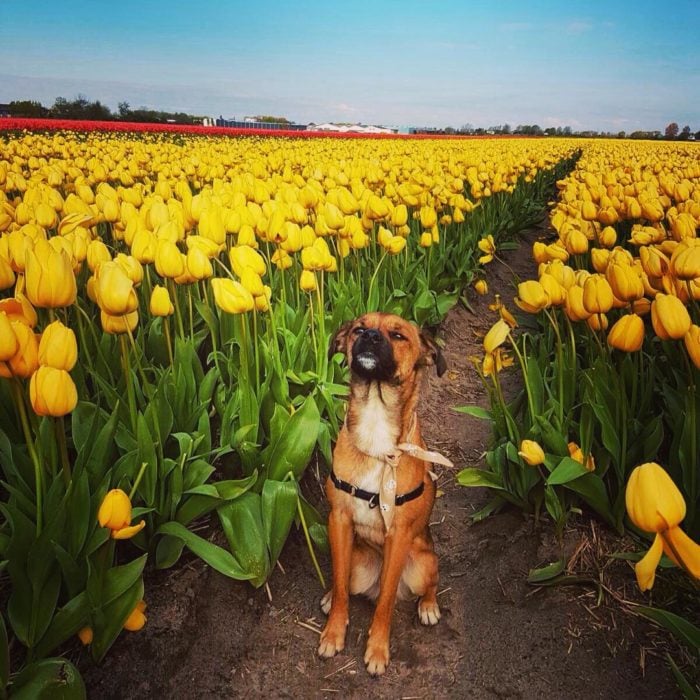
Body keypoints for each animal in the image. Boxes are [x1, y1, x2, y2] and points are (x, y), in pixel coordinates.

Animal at [320, 312, 452, 672]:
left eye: (398, 335)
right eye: (358, 329)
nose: (370, 337)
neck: (375, 424)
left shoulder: (400, 535)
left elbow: (386, 600)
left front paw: (377, 650)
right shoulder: (339, 519)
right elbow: (340, 584)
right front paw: (333, 633)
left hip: (422, 563)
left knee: (430, 581)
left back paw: (429, 606)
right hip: (356, 561)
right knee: (343, 580)